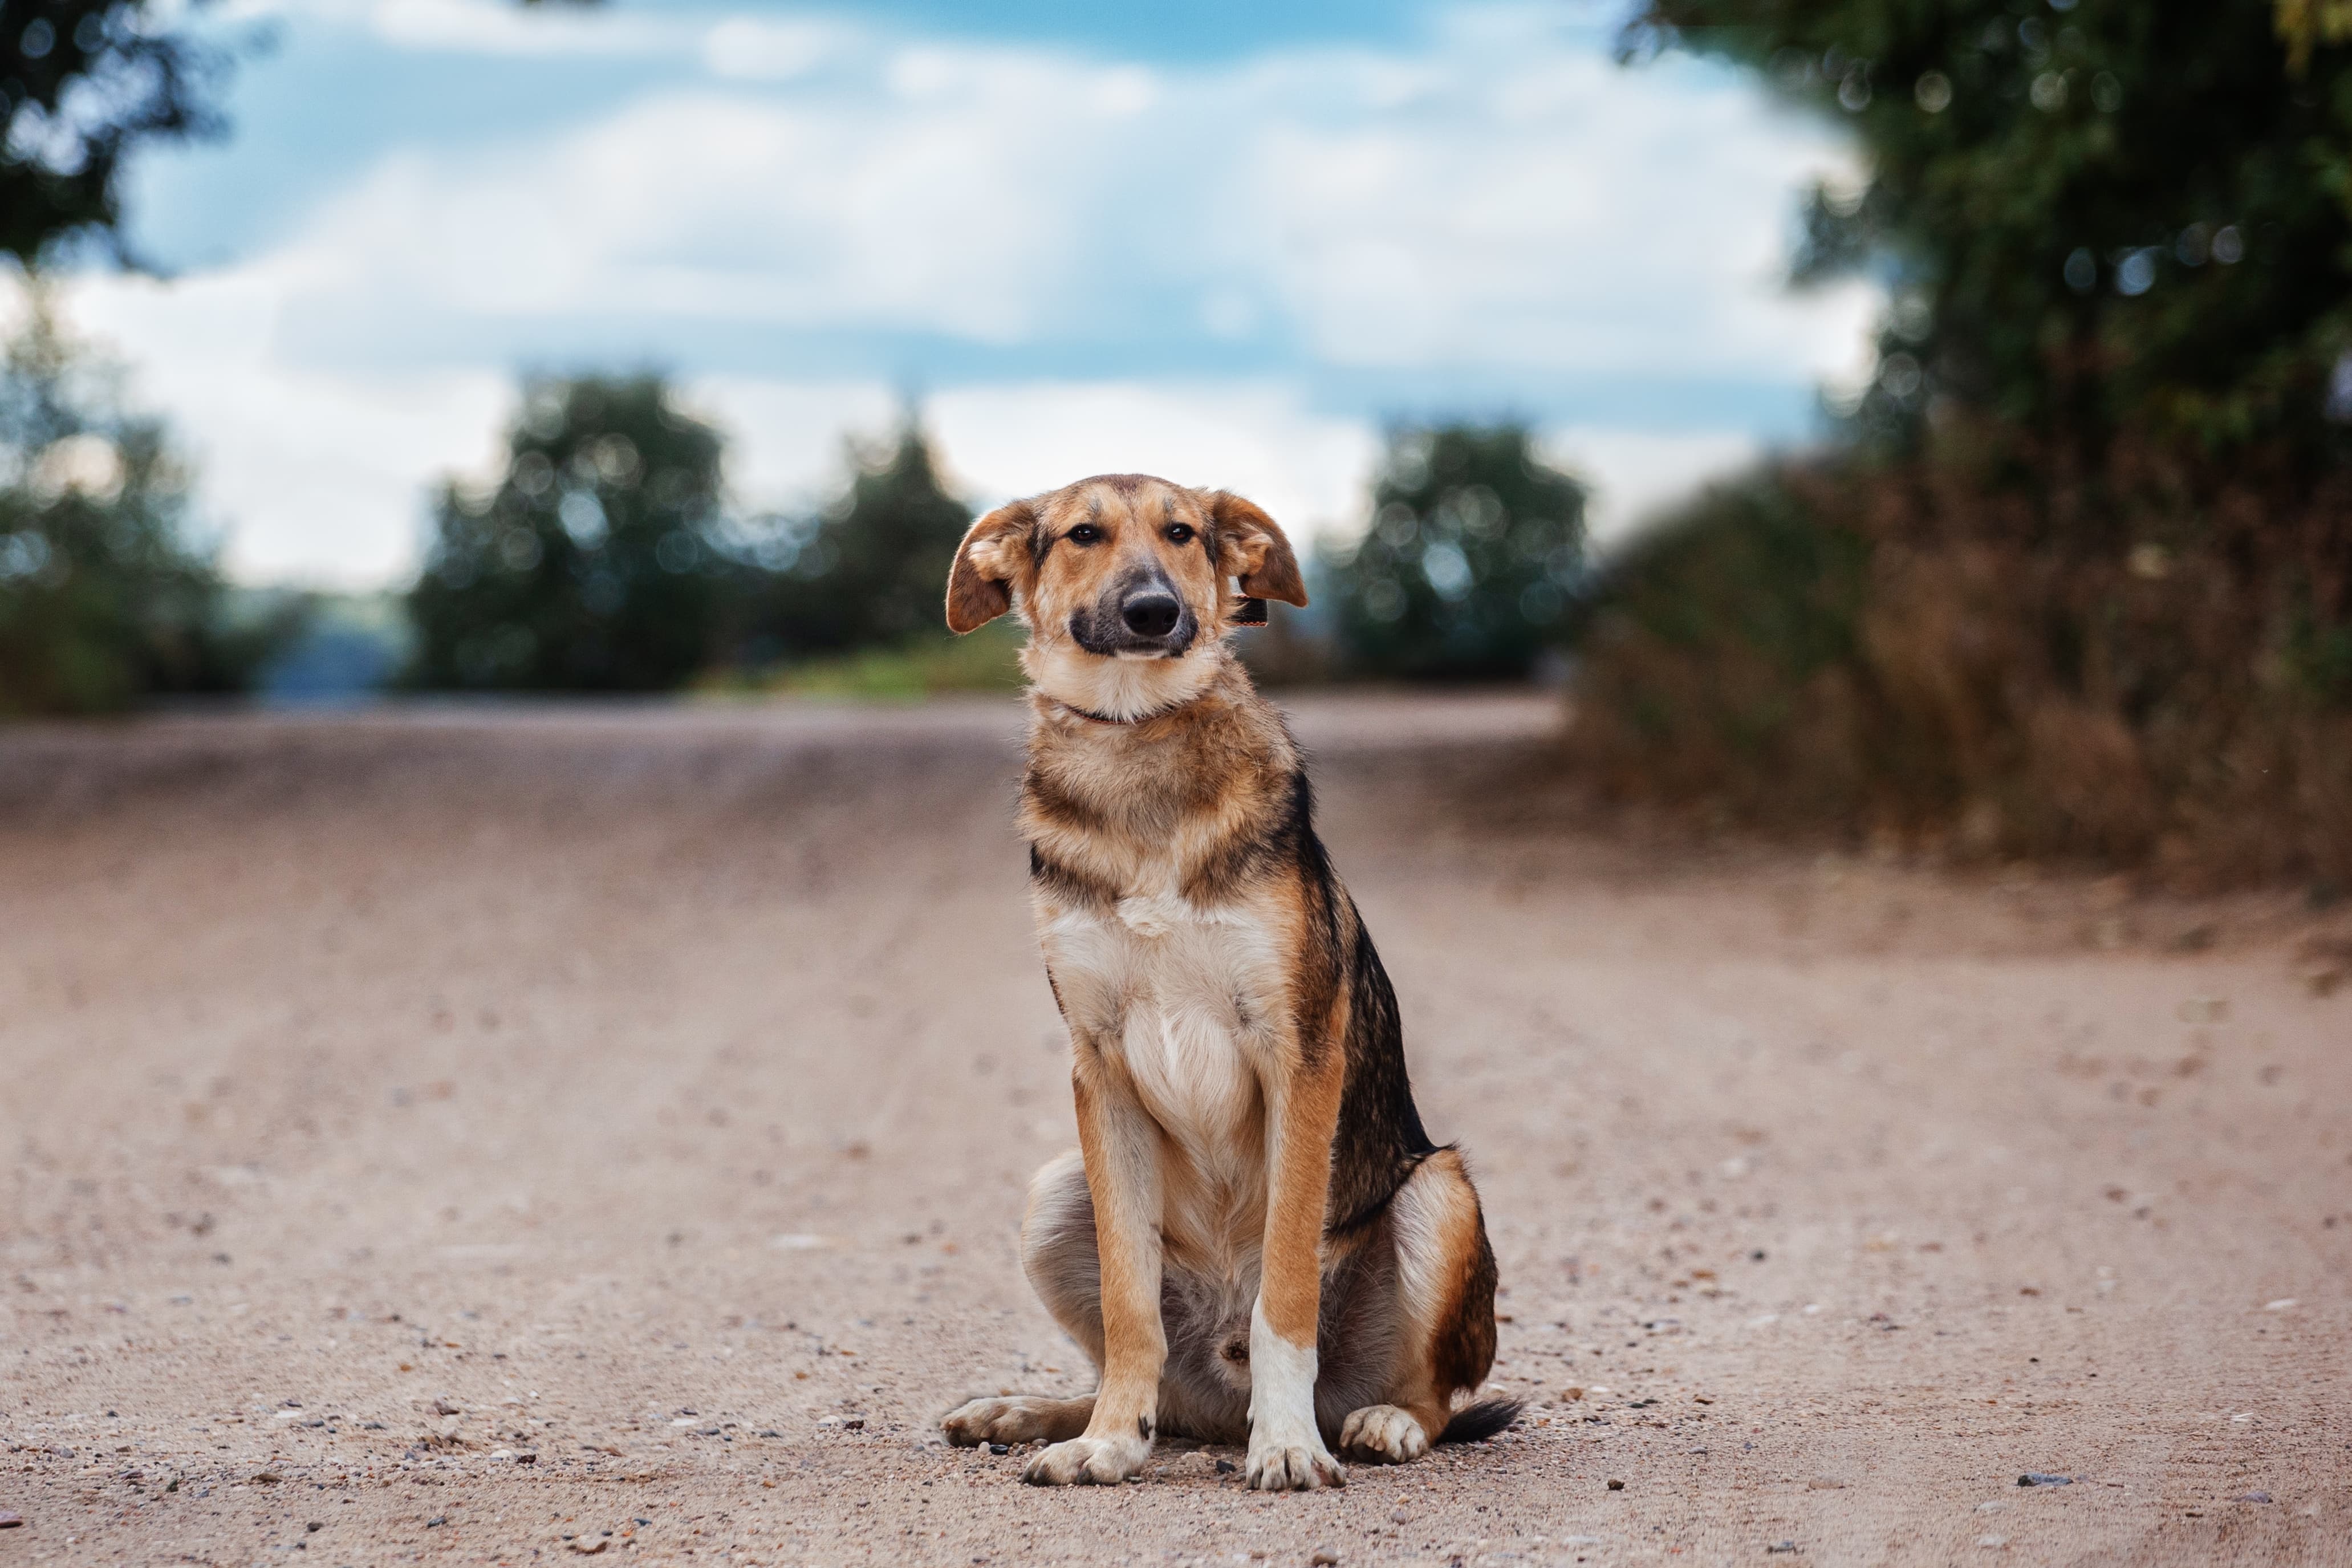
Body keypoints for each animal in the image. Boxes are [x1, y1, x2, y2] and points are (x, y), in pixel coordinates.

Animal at [927, 480, 1514, 1495]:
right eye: (1083, 534)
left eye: (1182, 533)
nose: (1154, 611)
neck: (1136, 745)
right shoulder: (1100, 1067)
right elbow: (1130, 1308)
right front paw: (1108, 1442)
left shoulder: (1298, 1054)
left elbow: (1286, 1291)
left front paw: (1285, 1444)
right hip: (1056, 1190)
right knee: (1166, 1391)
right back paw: (1039, 1412)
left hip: (1440, 1192)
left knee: (1440, 1394)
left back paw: (1380, 1421)